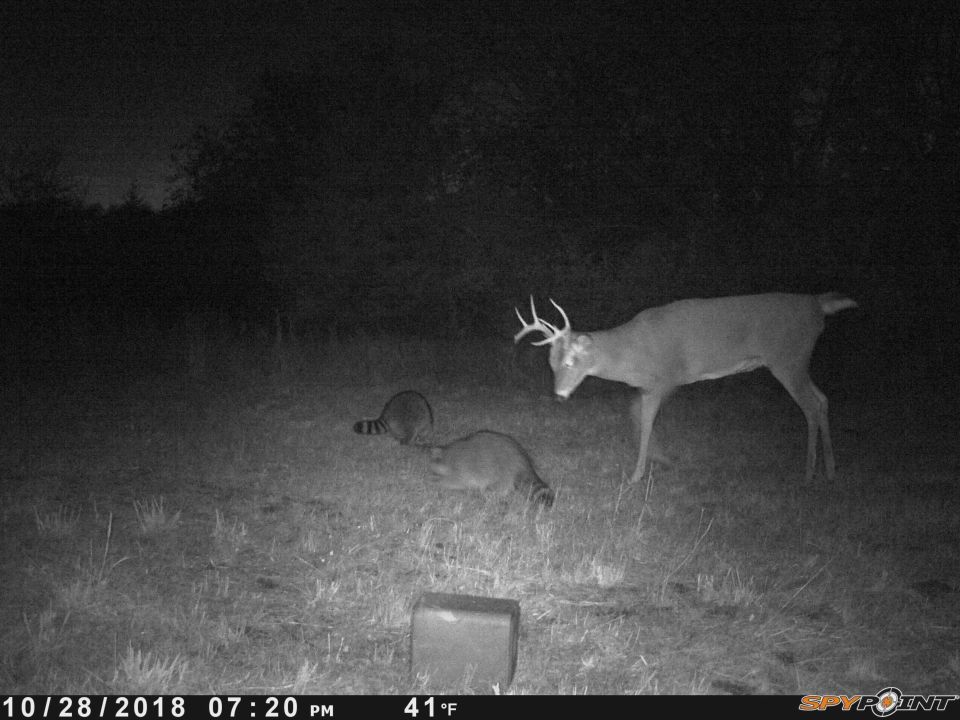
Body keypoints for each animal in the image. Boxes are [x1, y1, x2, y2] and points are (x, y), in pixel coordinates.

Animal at [514, 293, 858, 485]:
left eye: (571, 361)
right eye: (551, 362)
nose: (559, 395)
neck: (631, 354)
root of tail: (817, 304)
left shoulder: (666, 379)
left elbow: (646, 420)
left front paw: (638, 474)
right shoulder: (649, 386)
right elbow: (636, 415)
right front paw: (660, 460)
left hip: (788, 357)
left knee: (810, 405)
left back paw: (810, 472)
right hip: (798, 360)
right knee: (822, 399)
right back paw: (830, 470)